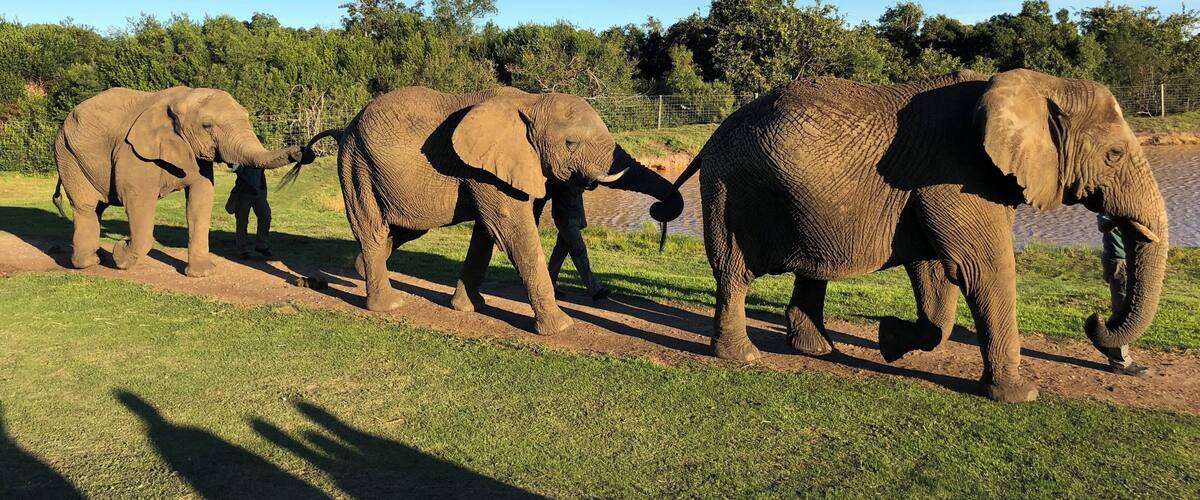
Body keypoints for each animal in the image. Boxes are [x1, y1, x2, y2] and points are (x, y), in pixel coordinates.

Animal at [53, 86, 315, 277]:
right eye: (207, 126)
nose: (303, 151)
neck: (181, 98)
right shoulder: (134, 153)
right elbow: (139, 201)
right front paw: (121, 255)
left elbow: (201, 198)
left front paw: (201, 274)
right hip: (68, 154)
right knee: (86, 206)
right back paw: (90, 262)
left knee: (97, 207)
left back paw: (98, 256)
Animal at [317, 86, 683, 335]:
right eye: (570, 143)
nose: (659, 209)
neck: (531, 102)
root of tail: (345, 128)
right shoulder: (486, 169)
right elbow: (512, 229)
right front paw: (561, 328)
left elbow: (487, 232)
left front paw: (470, 308)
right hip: (356, 165)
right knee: (373, 228)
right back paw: (388, 305)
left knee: (404, 229)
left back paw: (360, 269)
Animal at [658, 69, 1168, 402]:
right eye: (1115, 155)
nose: (1095, 317)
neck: (1038, 84)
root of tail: (711, 136)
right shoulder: (957, 174)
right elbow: (982, 269)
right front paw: (1020, 395)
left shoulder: (932, 185)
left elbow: (935, 275)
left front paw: (889, 341)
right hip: (730, 187)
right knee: (734, 271)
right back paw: (742, 357)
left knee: (808, 268)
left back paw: (821, 350)